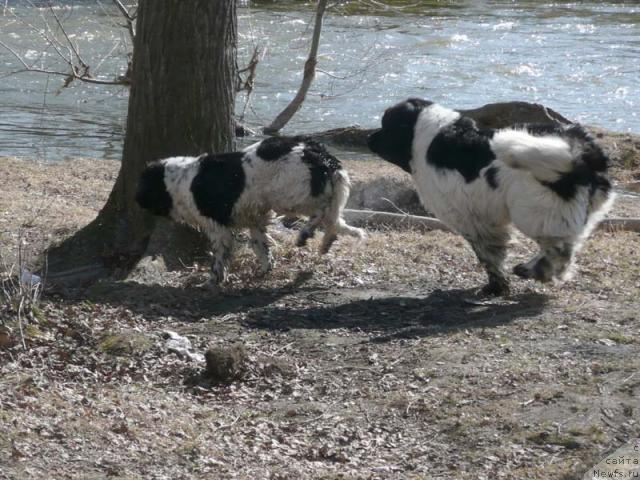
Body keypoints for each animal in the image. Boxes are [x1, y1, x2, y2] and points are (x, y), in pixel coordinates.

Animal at [135, 136, 364, 284]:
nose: (136, 200)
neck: (179, 182)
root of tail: (322, 155)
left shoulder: (219, 228)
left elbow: (219, 257)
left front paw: (214, 280)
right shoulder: (255, 221)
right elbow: (261, 247)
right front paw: (264, 270)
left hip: (288, 196)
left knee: (322, 211)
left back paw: (305, 234)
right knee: (332, 221)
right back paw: (326, 242)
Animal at [370, 98, 616, 294]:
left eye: (386, 126)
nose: (370, 137)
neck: (426, 135)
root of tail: (582, 152)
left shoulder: (473, 220)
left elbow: (488, 255)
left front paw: (496, 287)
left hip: (534, 209)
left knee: (559, 248)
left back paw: (538, 270)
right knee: (566, 243)